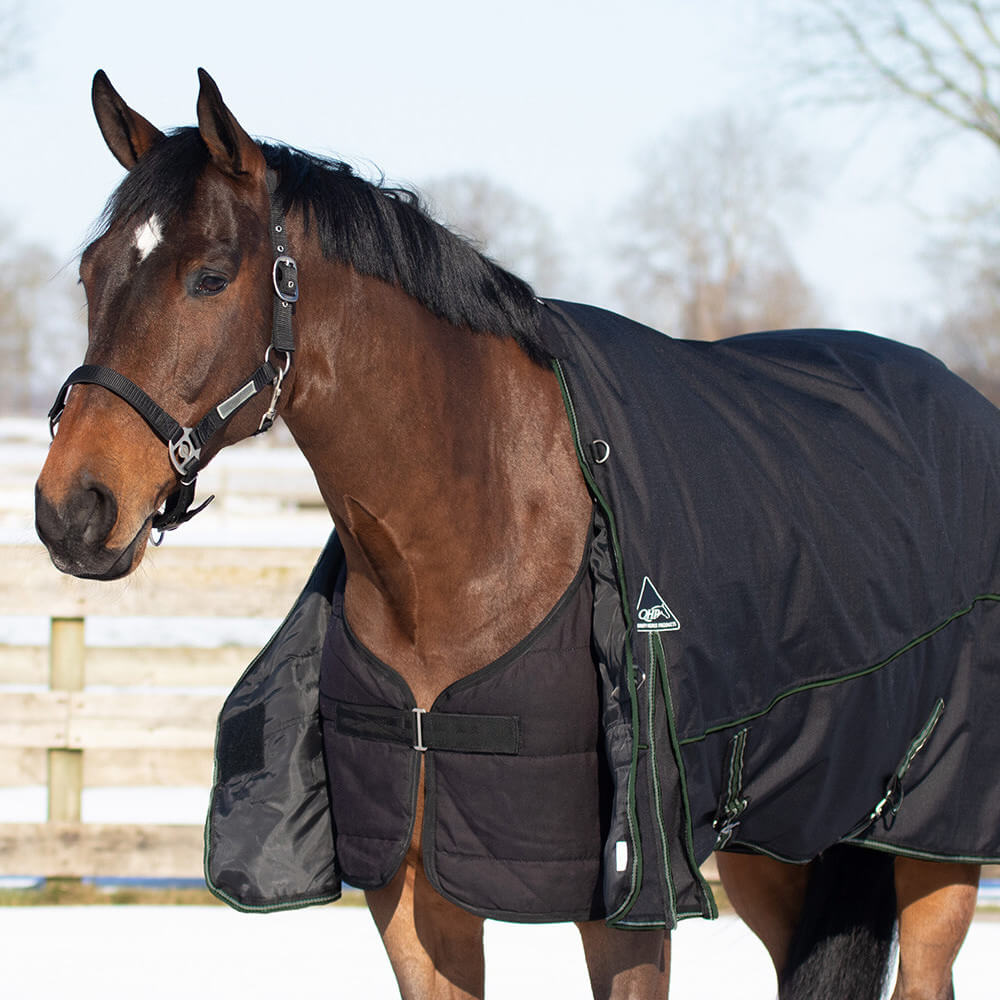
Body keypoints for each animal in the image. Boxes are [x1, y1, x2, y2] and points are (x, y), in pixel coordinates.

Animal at [35, 69, 992, 1000]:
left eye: (210, 276)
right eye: (89, 273)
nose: (71, 510)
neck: (470, 545)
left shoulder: (625, 906)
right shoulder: (410, 886)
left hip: (933, 843)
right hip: (780, 838)